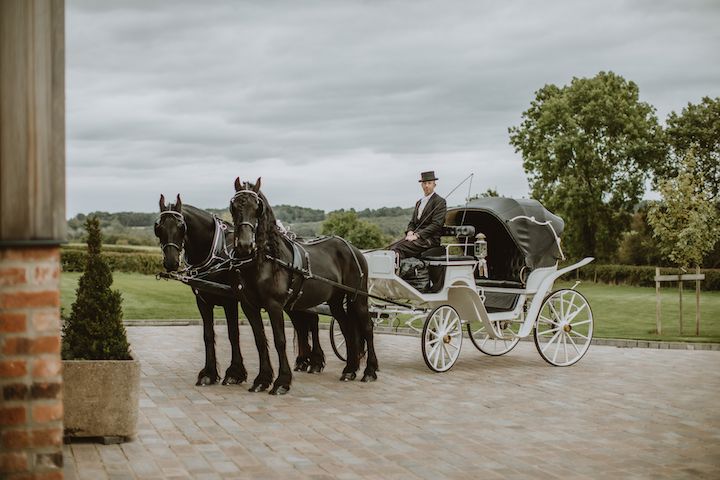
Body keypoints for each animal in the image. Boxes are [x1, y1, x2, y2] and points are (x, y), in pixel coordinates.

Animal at [155, 193, 324, 388]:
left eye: (181, 226)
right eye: (158, 227)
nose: (171, 262)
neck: (215, 251)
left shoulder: (230, 300)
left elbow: (233, 334)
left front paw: (234, 372)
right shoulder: (203, 301)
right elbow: (208, 335)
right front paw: (209, 373)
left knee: (312, 322)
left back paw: (316, 361)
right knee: (300, 324)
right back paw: (303, 360)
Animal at [231, 176, 380, 394]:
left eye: (257, 207)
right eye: (234, 206)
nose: (244, 245)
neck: (267, 260)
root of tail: (352, 248)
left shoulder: (275, 305)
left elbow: (280, 341)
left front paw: (282, 382)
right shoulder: (248, 306)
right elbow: (260, 341)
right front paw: (262, 380)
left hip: (358, 297)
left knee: (367, 328)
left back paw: (369, 371)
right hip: (336, 301)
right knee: (347, 327)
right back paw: (350, 369)